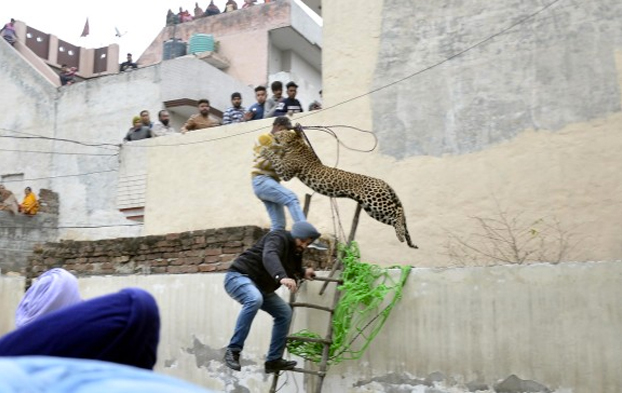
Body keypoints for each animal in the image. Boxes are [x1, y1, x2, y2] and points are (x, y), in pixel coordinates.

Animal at [260, 131, 420, 248]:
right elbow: (277, 155)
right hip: (372, 210)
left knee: (398, 212)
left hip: (375, 202)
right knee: (395, 217)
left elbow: (275, 158)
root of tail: (383, 181)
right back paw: (404, 237)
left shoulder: (286, 172)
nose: (273, 133)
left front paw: (265, 149)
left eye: (281, 133)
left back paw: (400, 235)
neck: (296, 145)